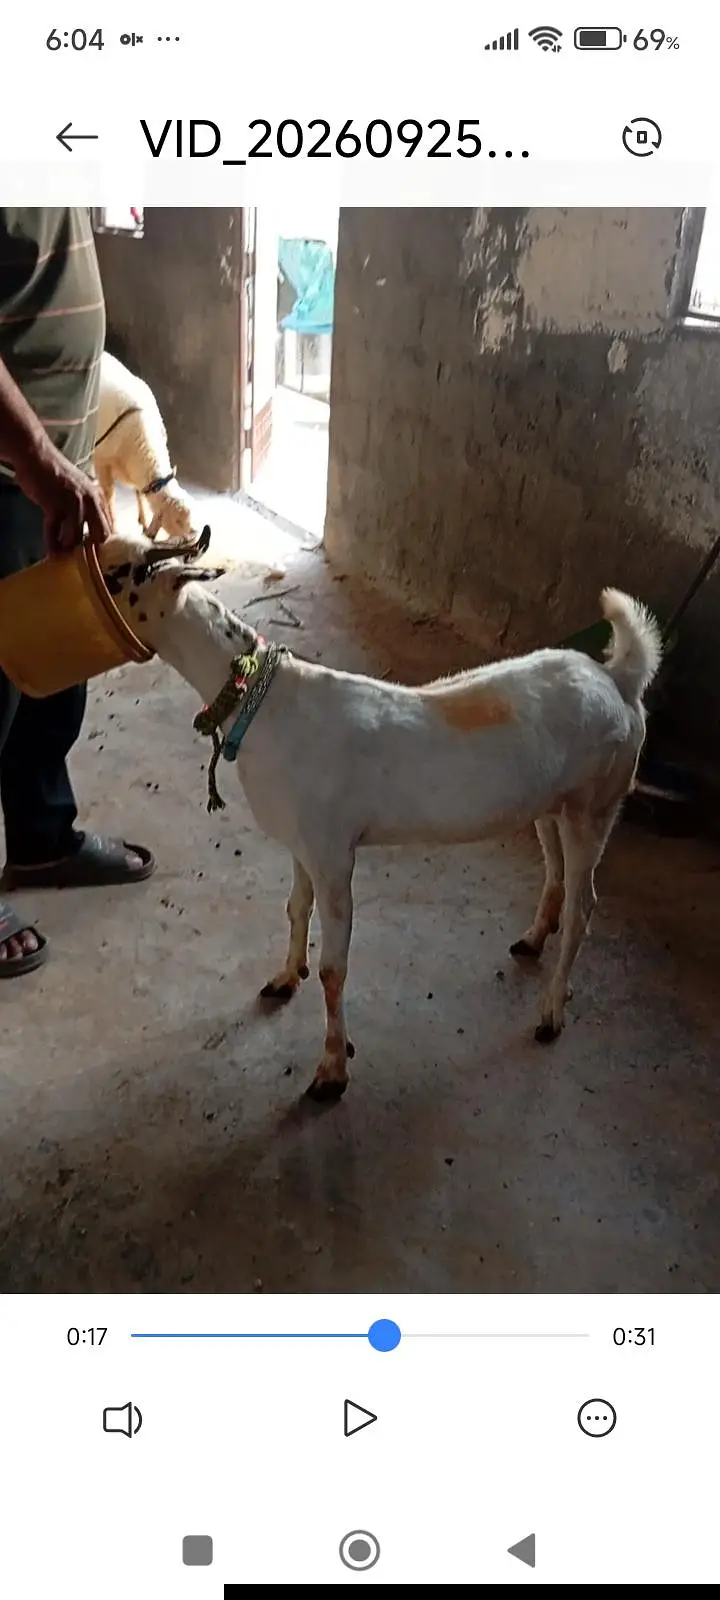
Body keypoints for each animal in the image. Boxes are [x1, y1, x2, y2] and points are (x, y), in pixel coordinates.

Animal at [94, 351, 195, 541]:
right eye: (178, 521)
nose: (194, 538)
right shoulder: (103, 461)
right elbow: (109, 495)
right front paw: (113, 530)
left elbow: (139, 493)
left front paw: (144, 522)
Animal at [100, 530, 662, 1100]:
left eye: (121, 576)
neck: (266, 704)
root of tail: (618, 678)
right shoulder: (302, 843)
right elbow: (294, 909)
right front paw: (285, 978)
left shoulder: (333, 853)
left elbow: (333, 969)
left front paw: (331, 1070)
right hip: (550, 803)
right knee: (555, 871)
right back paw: (532, 939)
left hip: (597, 803)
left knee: (583, 903)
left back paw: (550, 1013)